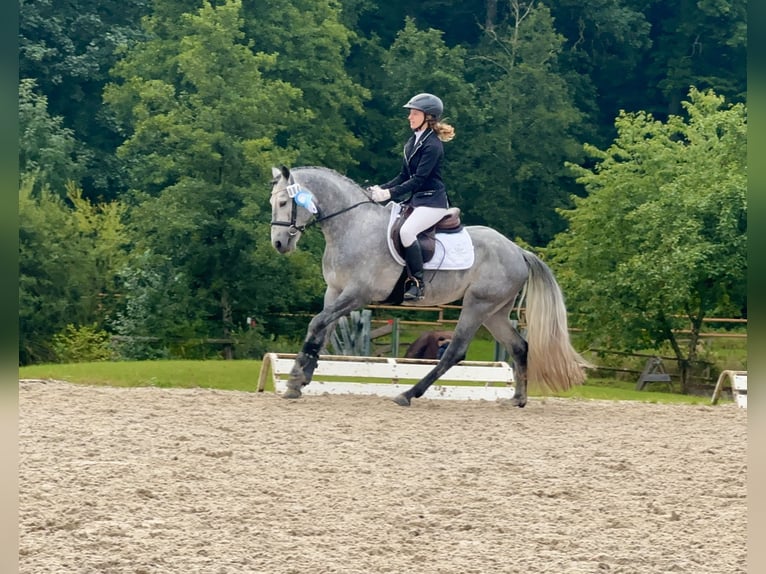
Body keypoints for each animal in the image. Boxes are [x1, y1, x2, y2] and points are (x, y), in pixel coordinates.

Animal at [269, 165, 589, 407]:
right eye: (273, 203)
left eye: (284, 203)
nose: (279, 244)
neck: (352, 226)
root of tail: (518, 250)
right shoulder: (334, 291)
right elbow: (321, 330)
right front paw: (300, 379)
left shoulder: (358, 294)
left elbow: (316, 323)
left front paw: (295, 378)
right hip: (495, 312)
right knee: (520, 347)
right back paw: (517, 399)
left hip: (477, 305)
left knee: (455, 351)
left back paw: (408, 394)